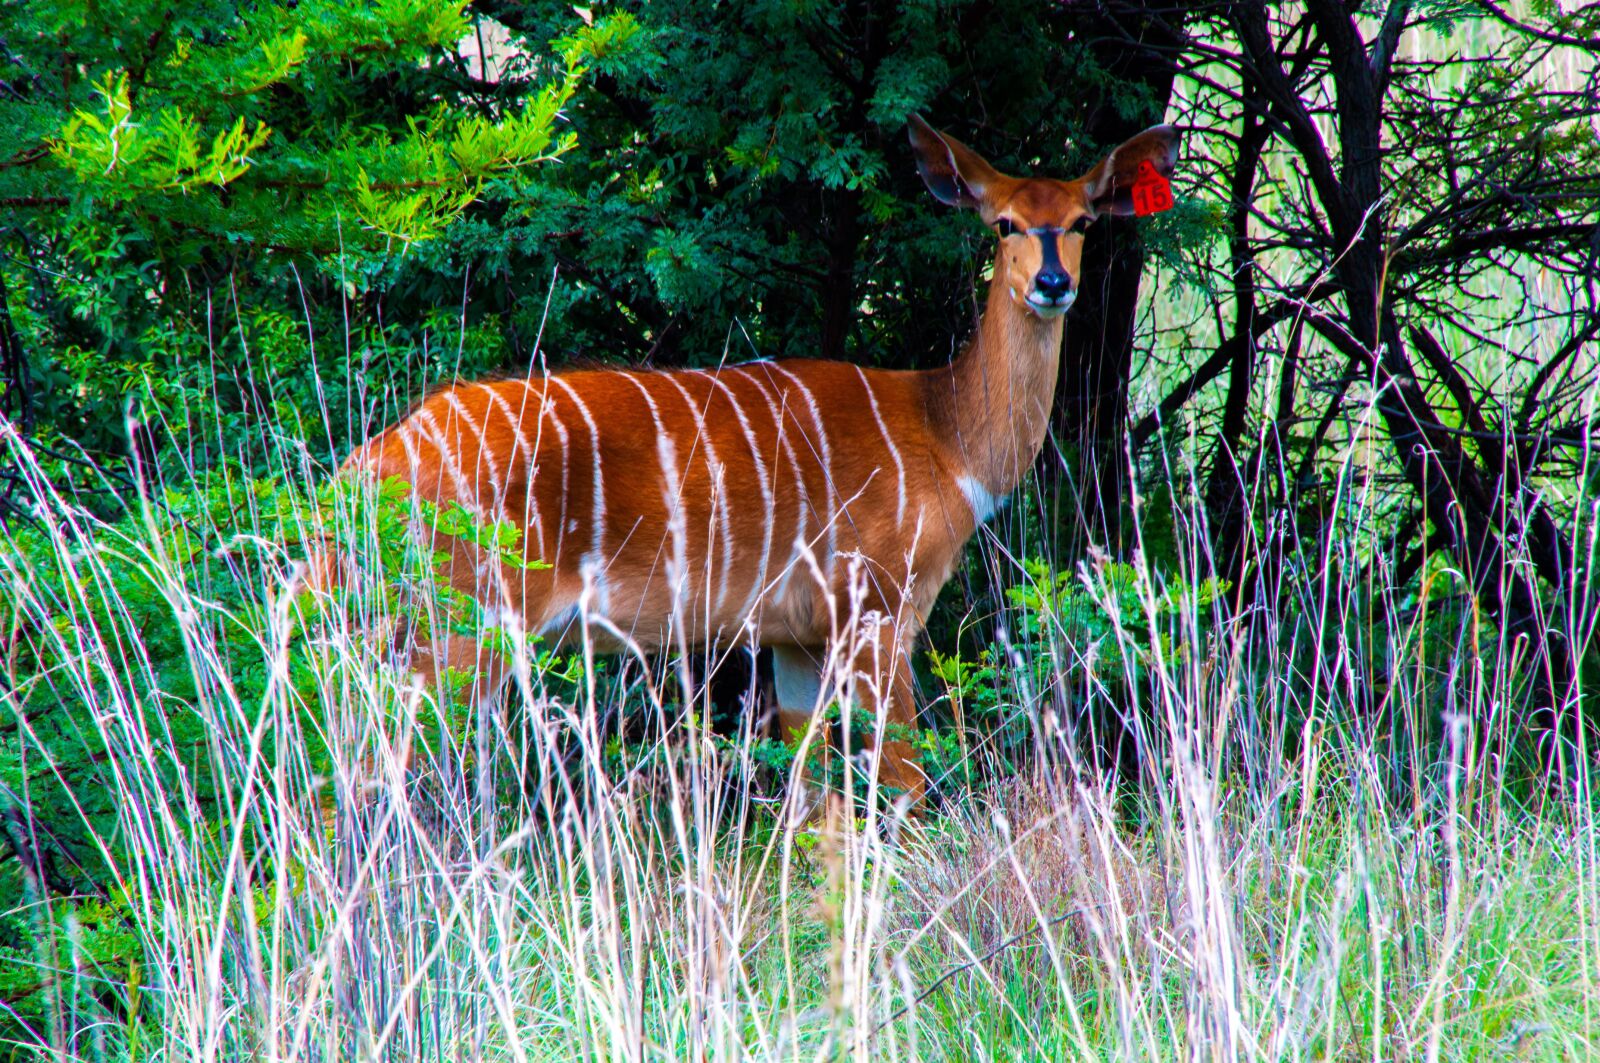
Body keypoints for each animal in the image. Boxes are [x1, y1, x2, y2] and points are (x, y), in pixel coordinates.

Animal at [340, 114, 1177, 797]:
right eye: (1004, 223)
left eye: (1081, 221)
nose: (1053, 282)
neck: (944, 435)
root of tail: (367, 466)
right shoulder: (877, 607)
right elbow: (904, 779)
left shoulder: (794, 636)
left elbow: (812, 795)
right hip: (462, 625)